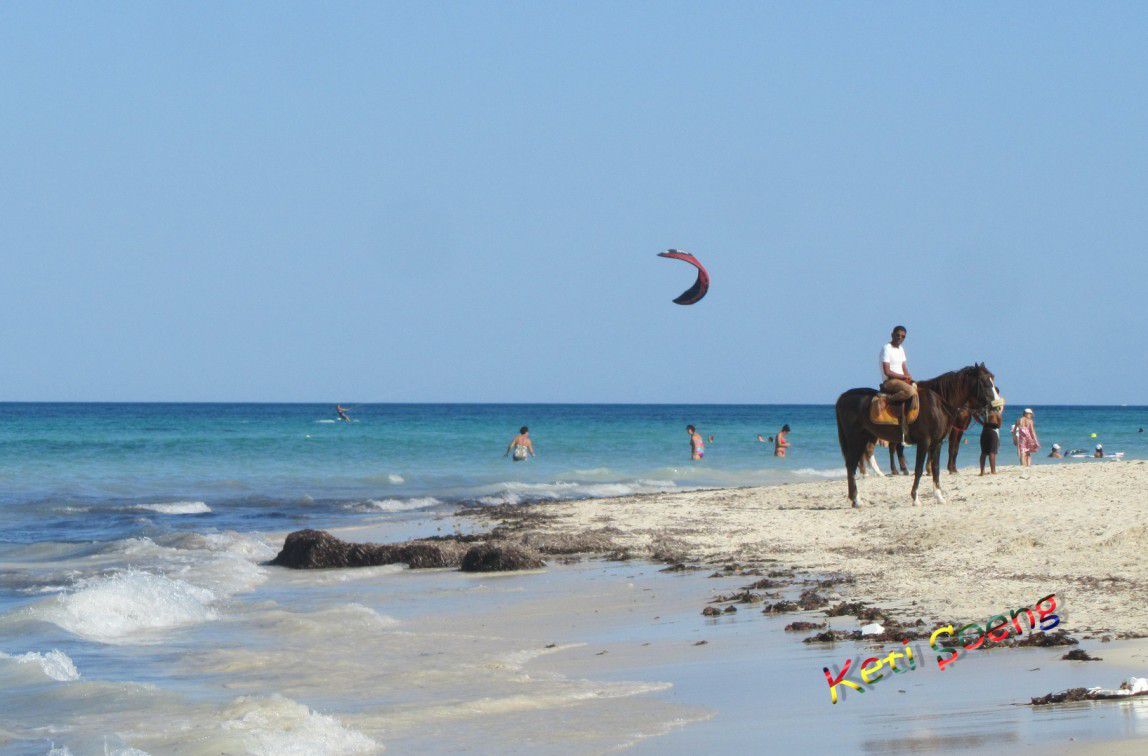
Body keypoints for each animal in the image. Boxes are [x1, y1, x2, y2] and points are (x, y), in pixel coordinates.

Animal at [835, 364, 1005, 509]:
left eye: (993, 380)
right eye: (985, 382)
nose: (998, 406)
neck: (937, 403)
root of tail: (843, 397)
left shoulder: (937, 443)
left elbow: (936, 468)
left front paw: (939, 496)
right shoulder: (925, 442)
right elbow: (918, 469)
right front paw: (915, 498)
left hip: (863, 438)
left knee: (854, 463)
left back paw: (856, 498)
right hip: (855, 439)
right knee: (852, 465)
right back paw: (857, 499)